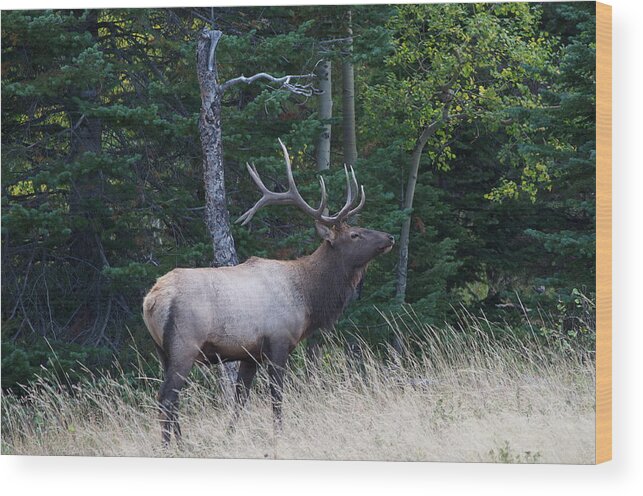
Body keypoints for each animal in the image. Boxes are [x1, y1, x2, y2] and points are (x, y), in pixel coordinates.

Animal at [144, 139, 394, 446]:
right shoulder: (278, 341)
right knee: (167, 396)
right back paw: (173, 445)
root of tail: (151, 300)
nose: (389, 237)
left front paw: (230, 437)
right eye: (354, 235)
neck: (308, 298)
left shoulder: (249, 354)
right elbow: (276, 397)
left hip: (162, 350)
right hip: (184, 343)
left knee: (170, 398)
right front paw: (279, 435)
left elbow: (241, 398)